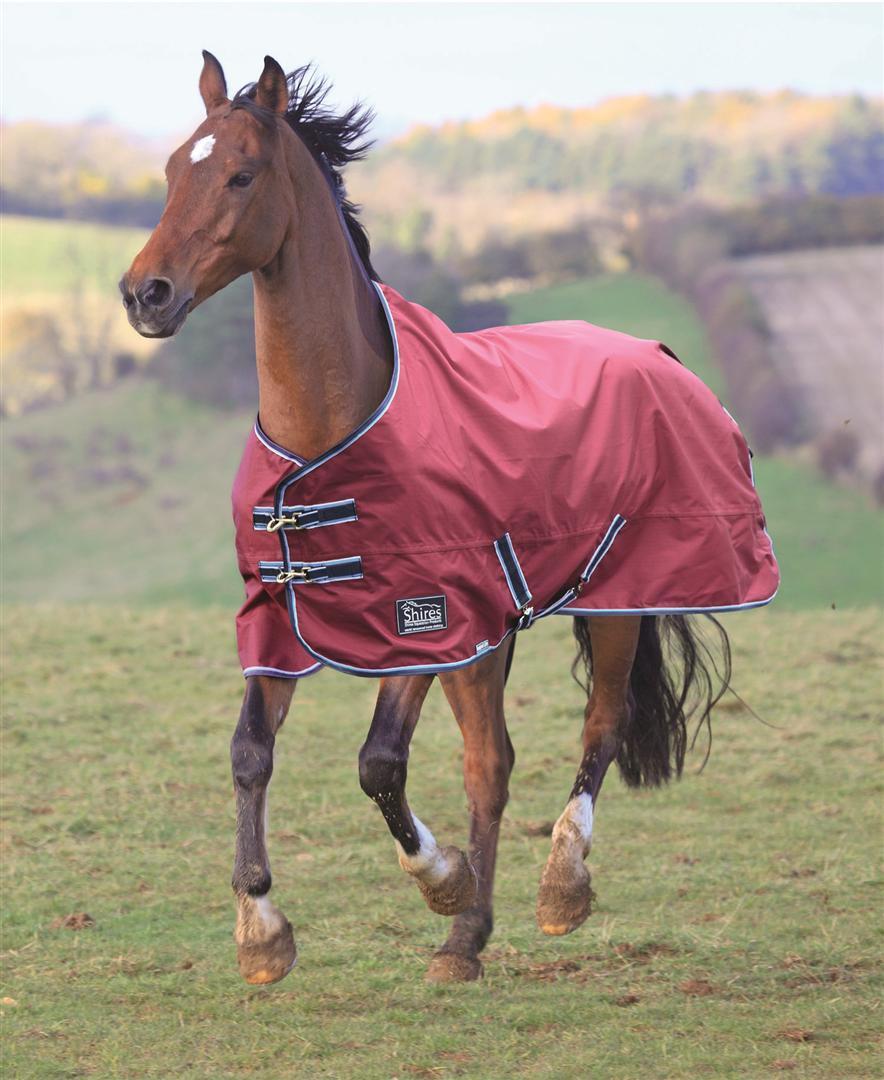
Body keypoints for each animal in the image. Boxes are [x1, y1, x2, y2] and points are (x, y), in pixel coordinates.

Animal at [120, 53, 777, 985]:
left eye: (241, 174)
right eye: (176, 169)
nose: (145, 293)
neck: (330, 430)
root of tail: (660, 355)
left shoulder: (423, 621)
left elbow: (378, 763)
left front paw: (442, 879)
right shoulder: (282, 617)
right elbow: (250, 752)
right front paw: (262, 932)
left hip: (614, 599)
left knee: (600, 726)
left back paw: (556, 888)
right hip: (492, 637)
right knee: (489, 765)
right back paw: (468, 938)